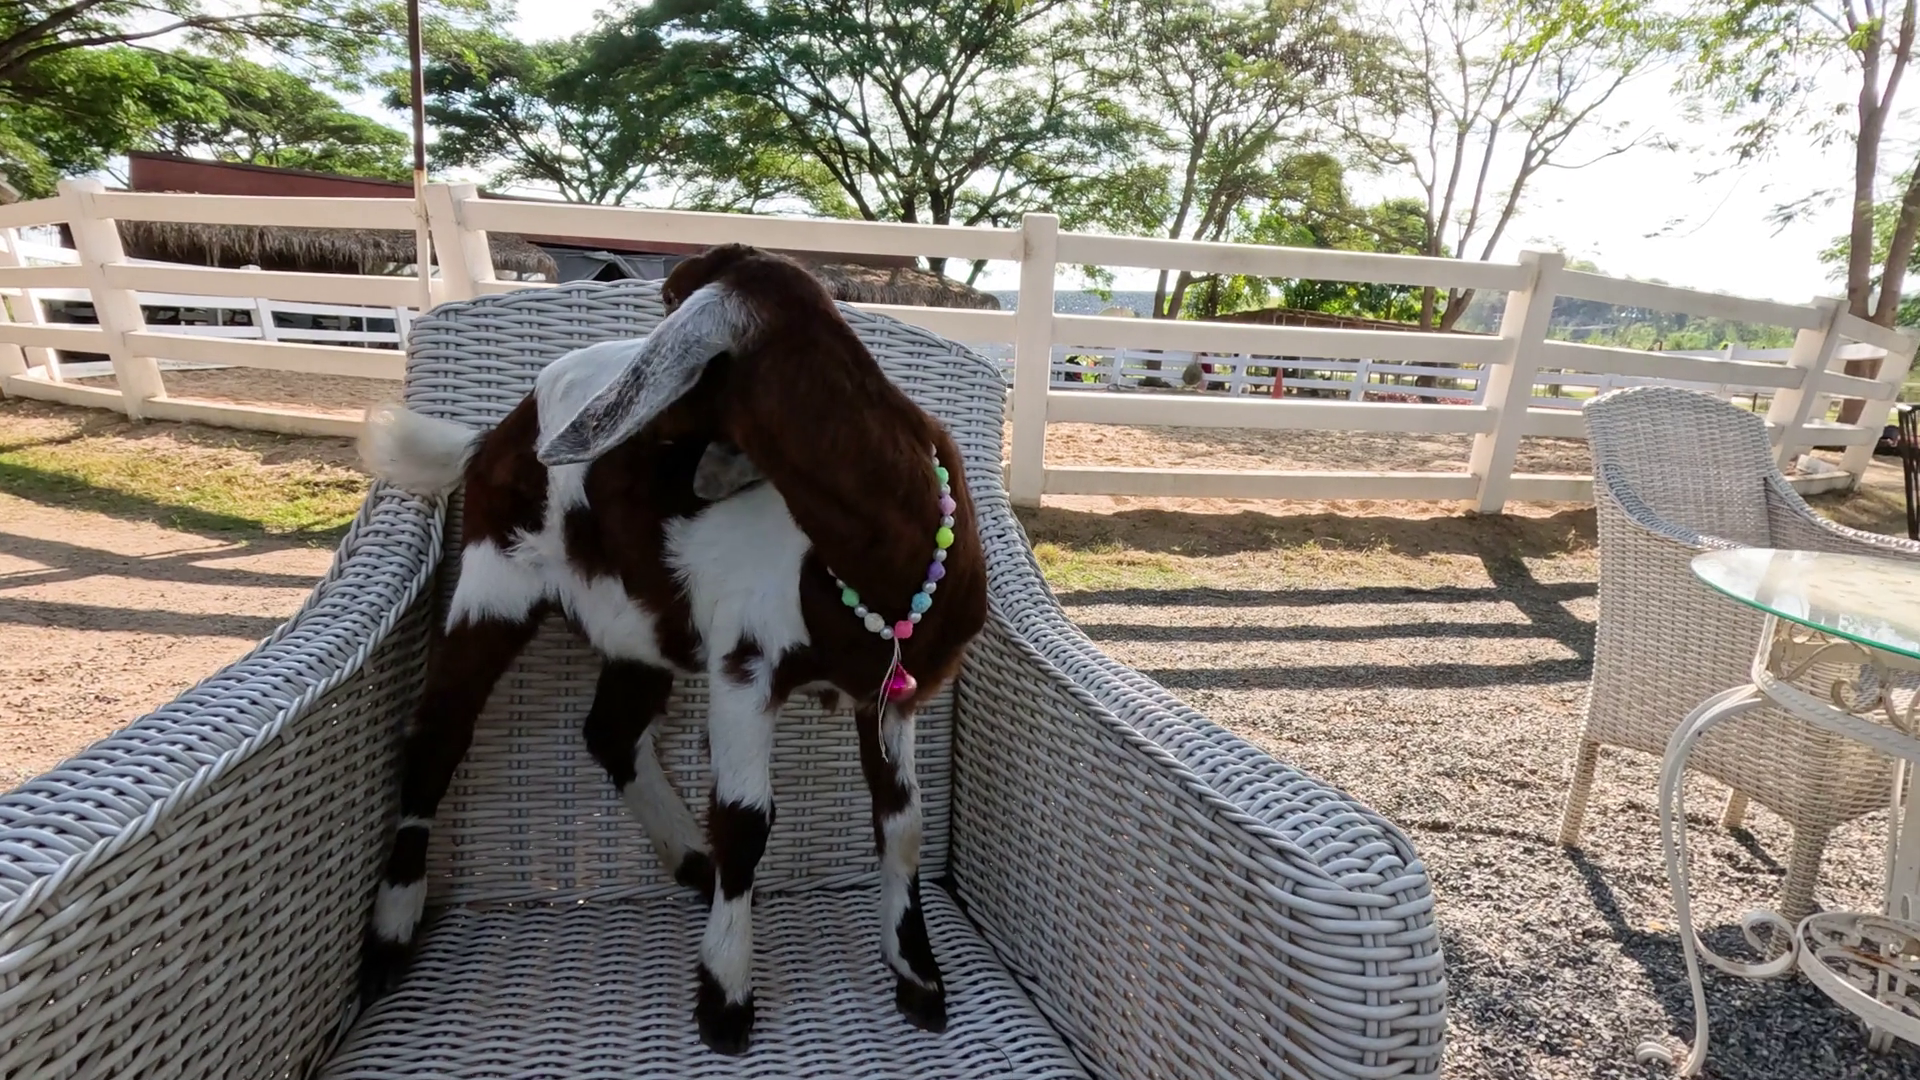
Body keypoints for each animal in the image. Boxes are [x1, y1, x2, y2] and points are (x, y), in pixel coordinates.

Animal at [356, 245, 987, 1054]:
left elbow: (903, 825)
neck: (886, 562)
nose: (582, 403)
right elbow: (747, 822)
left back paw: (690, 858)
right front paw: (725, 996)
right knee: (439, 732)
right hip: (497, 574)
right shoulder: (744, 666)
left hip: (643, 622)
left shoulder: (893, 694)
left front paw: (918, 976)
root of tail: (493, 435)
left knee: (611, 729)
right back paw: (390, 935)